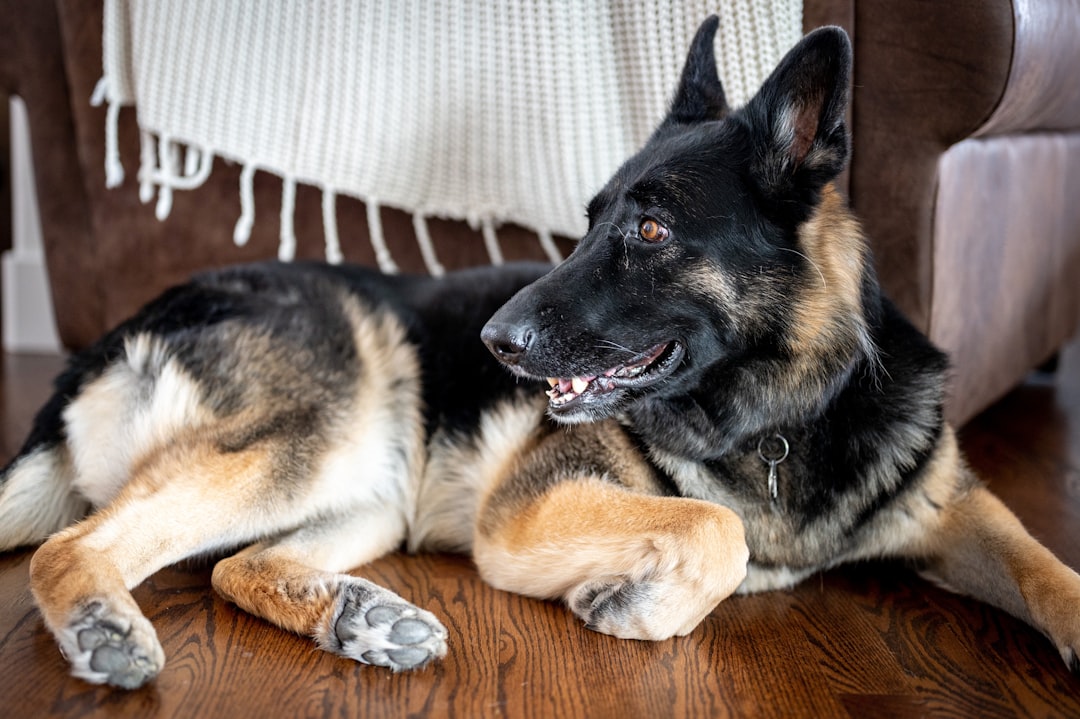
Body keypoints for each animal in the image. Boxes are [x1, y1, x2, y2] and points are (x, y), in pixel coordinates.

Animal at [2, 19, 1080, 686]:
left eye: (648, 231)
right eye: (587, 221)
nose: (495, 341)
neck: (784, 412)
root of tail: (91, 354)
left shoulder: (960, 508)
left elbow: (1048, 567)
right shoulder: (528, 513)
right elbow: (715, 527)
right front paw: (642, 604)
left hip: (363, 490)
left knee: (238, 568)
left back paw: (358, 616)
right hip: (313, 433)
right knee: (71, 546)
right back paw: (101, 622)